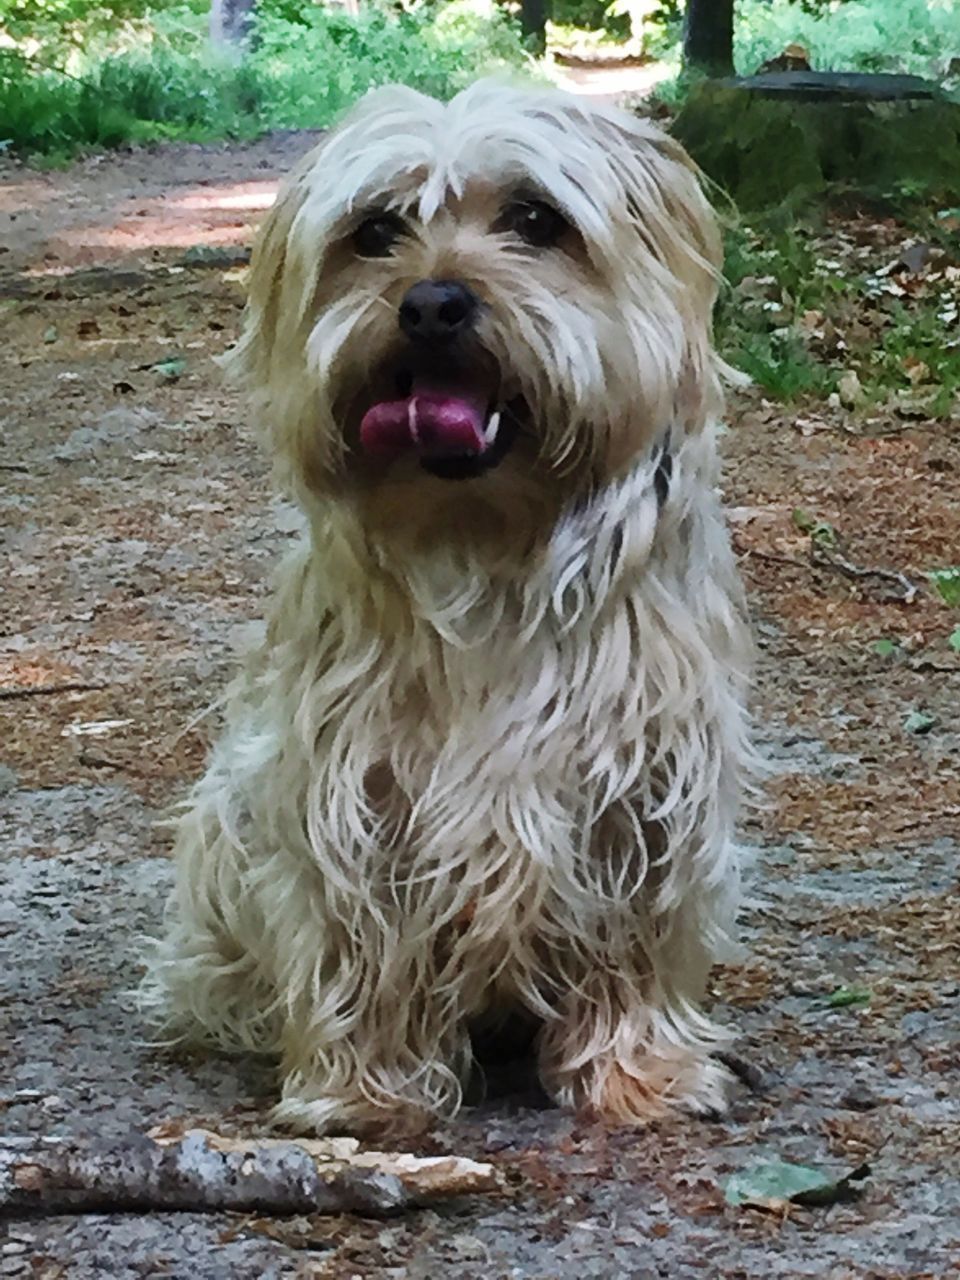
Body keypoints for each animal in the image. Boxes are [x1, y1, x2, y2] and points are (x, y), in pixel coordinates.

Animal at [142, 80, 757, 1136]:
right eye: (375, 230)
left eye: (537, 221)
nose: (432, 302)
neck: (487, 543)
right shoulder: (349, 789)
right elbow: (357, 938)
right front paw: (362, 1090)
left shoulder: (645, 783)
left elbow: (633, 933)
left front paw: (640, 1072)